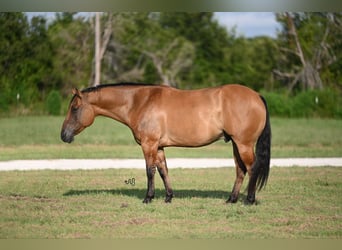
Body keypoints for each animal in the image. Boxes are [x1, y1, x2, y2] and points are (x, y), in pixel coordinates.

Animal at [60, 83, 272, 204]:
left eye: (75, 108)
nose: (63, 135)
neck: (140, 101)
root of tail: (256, 96)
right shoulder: (159, 147)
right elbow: (163, 170)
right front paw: (169, 197)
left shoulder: (149, 145)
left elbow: (150, 171)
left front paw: (148, 198)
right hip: (236, 144)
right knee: (240, 170)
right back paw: (232, 199)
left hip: (244, 144)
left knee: (252, 168)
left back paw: (249, 200)